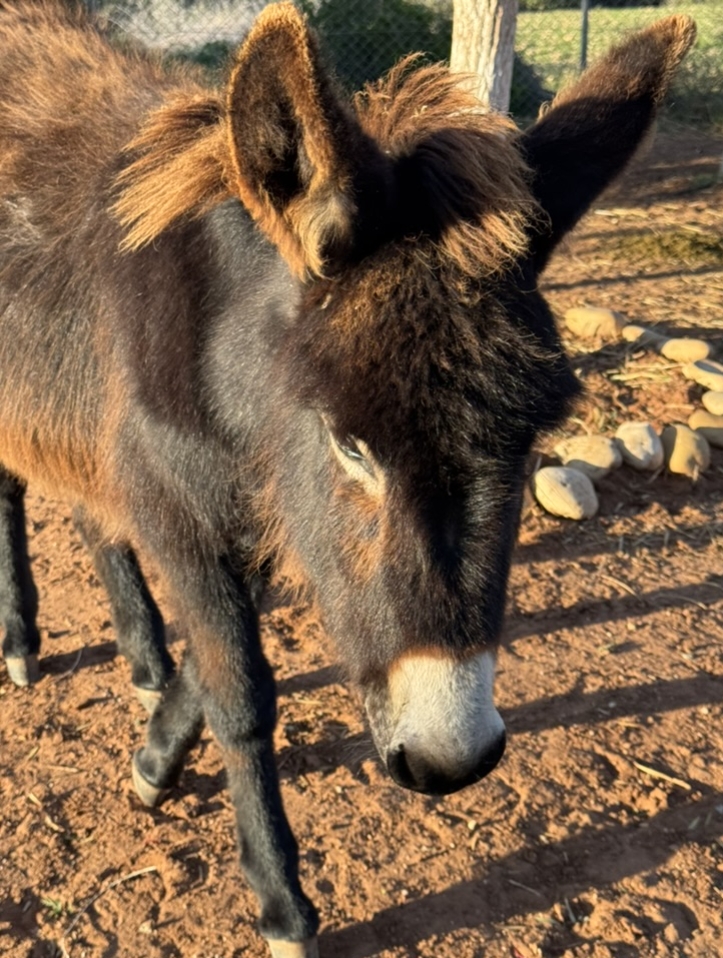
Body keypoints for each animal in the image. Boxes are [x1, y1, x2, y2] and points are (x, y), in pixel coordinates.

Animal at [0, 3, 695, 955]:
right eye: (349, 446)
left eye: (531, 438)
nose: (450, 761)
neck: (219, 352)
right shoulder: (183, 512)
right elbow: (240, 691)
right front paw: (280, 903)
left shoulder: (263, 507)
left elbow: (208, 664)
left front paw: (152, 755)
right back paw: (20, 641)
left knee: (87, 516)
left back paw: (140, 653)